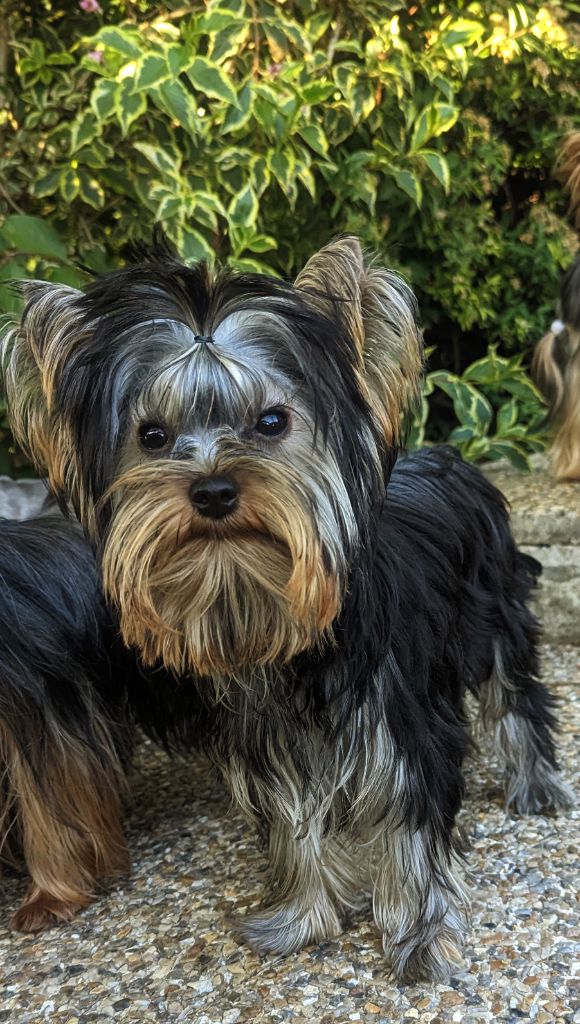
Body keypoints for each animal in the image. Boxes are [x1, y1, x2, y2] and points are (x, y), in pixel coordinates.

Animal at [0, 235, 573, 978]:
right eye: (152, 436)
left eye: (272, 422)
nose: (213, 489)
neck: (272, 614)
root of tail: (453, 458)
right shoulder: (270, 741)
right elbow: (295, 830)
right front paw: (301, 918)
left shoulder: (398, 727)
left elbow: (411, 830)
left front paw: (420, 941)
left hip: (495, 609)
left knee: (516, 696)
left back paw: (536, 787)